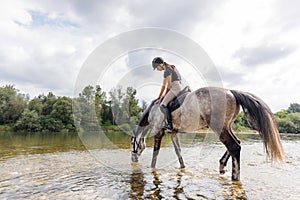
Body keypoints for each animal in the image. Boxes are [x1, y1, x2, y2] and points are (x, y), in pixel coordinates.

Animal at [131, 86, 284, 180]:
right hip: (227, 126)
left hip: (219, 127)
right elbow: (178, 152)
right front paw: (183, 168)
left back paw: (234, 177)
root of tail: (231, 92)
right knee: (236, 143)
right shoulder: (173, 133)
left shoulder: (158, 132)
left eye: (132, 142)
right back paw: (222, 166)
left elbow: (155, 153)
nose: (133, 159)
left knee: (234, 146)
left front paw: (151, 169)